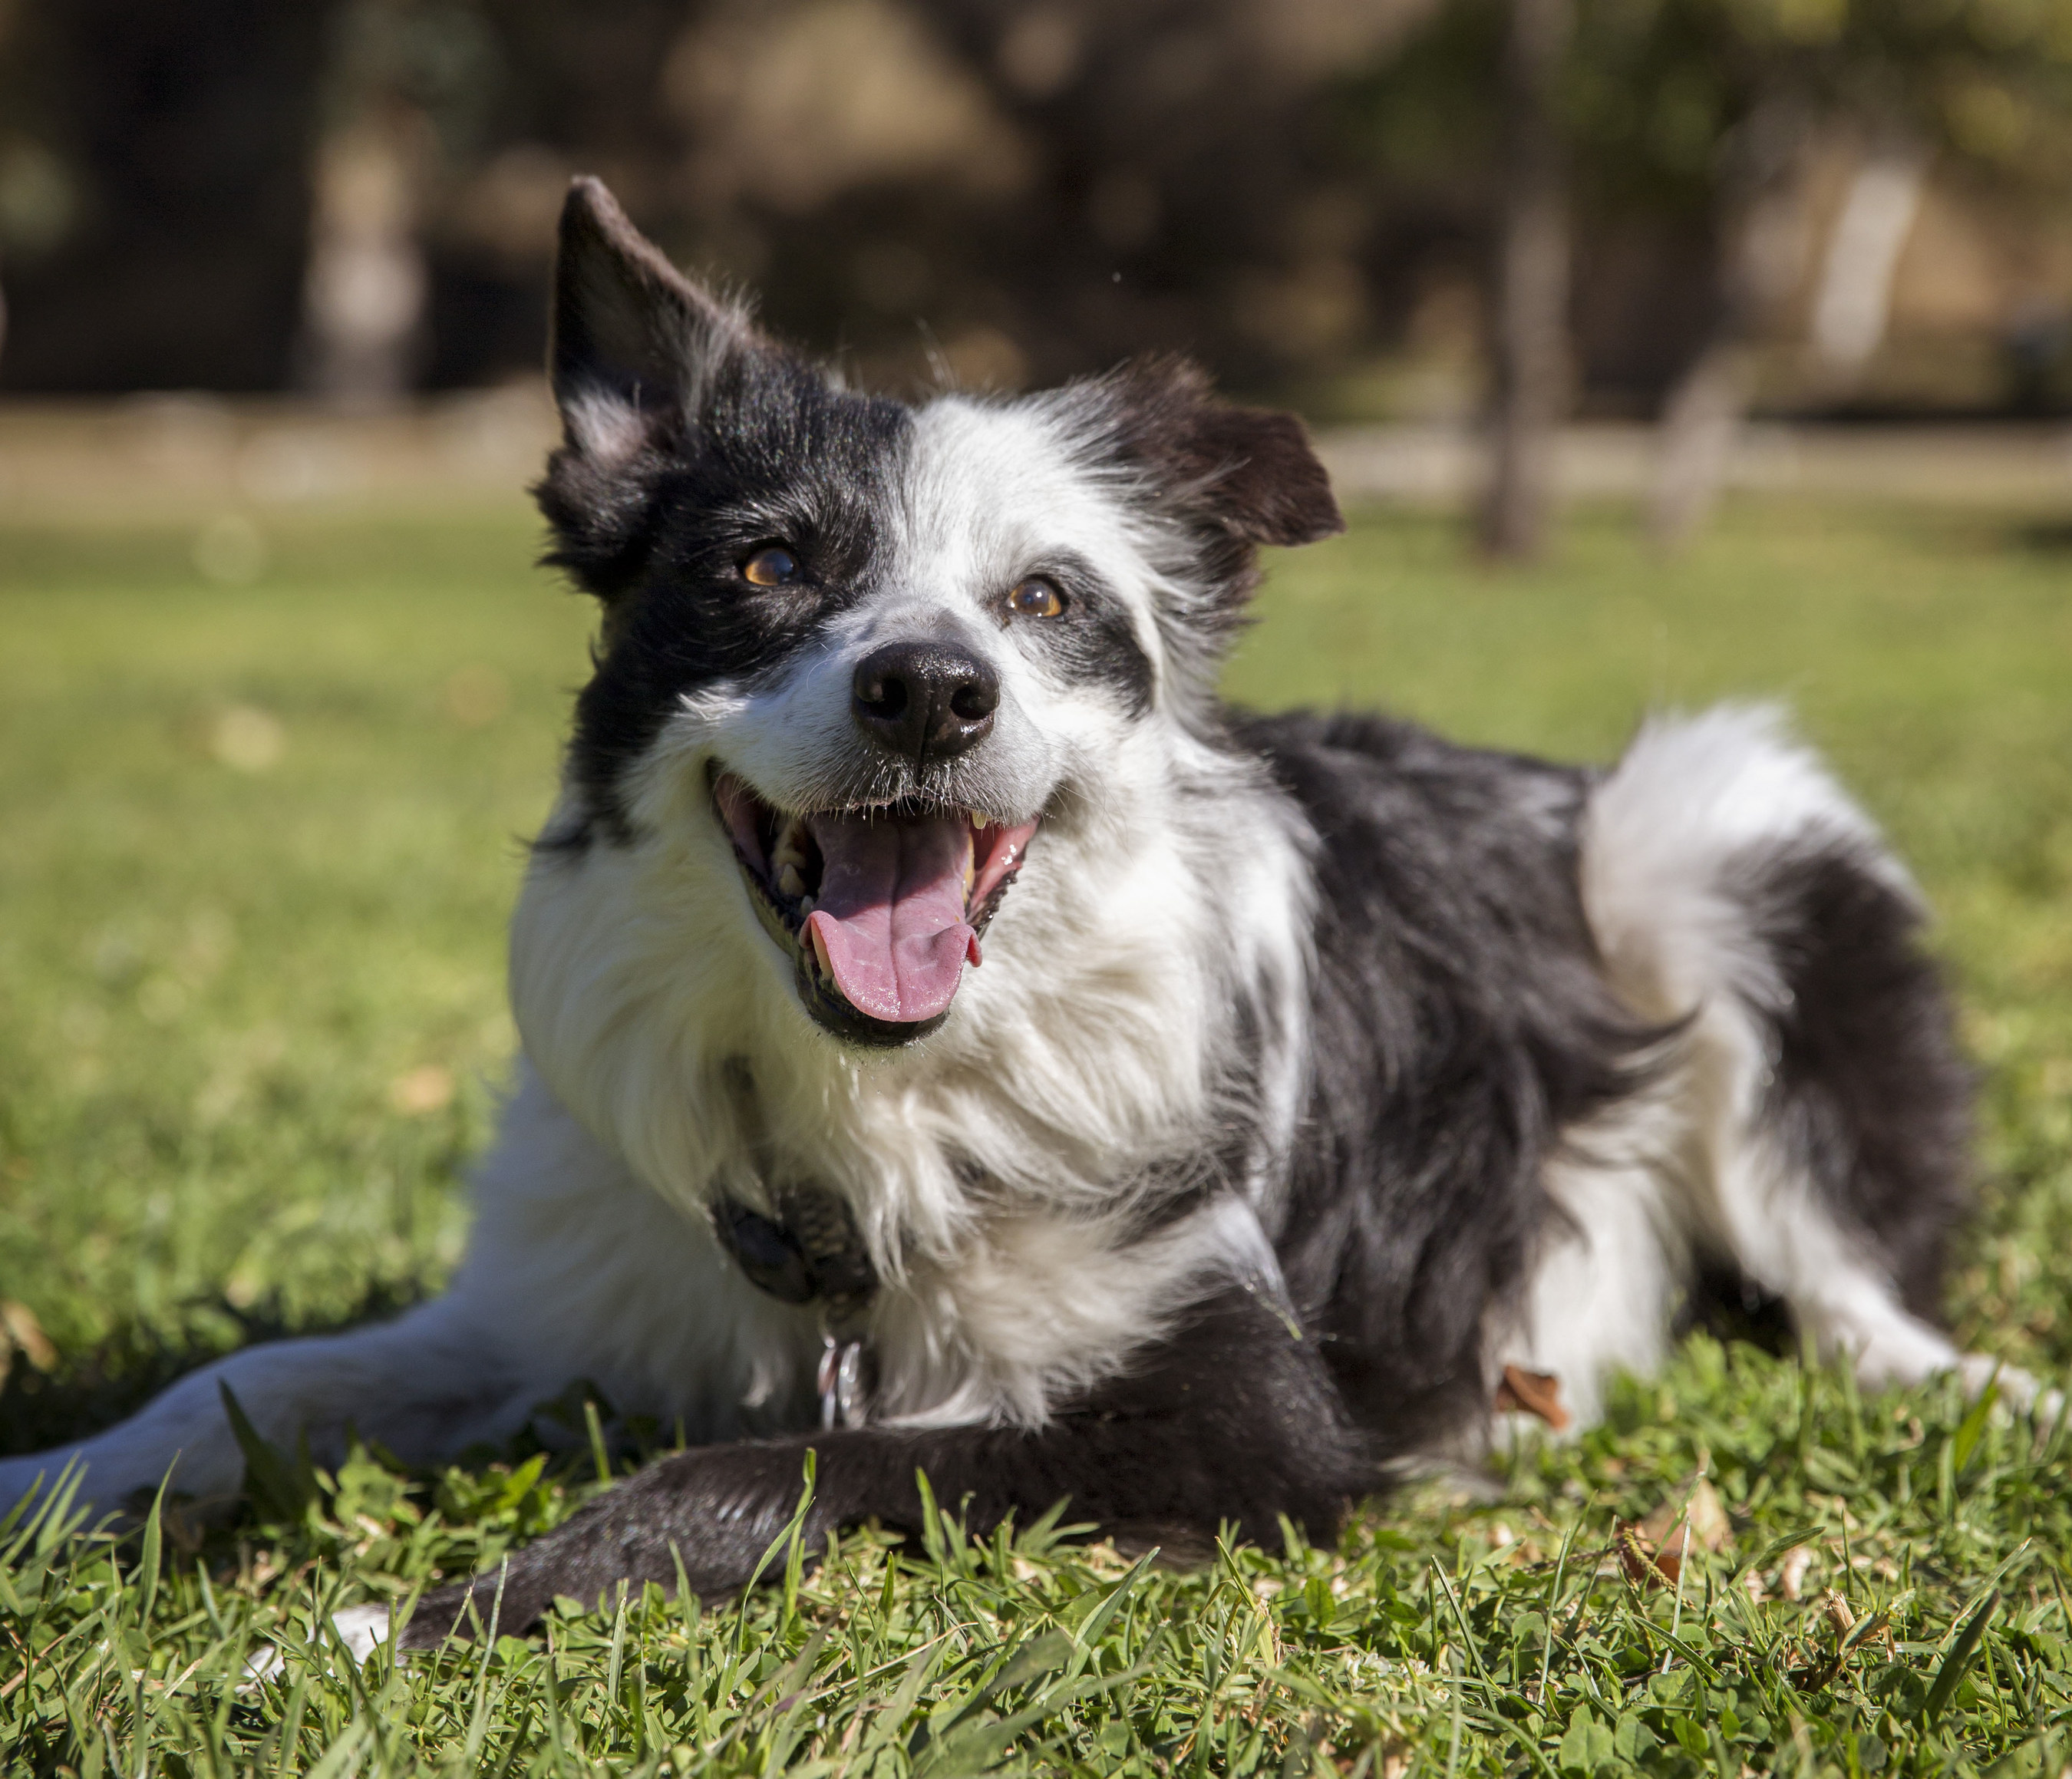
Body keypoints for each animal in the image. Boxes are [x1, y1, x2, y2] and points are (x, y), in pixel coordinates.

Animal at [0, 181, 2038, 1656]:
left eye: (1046, 600)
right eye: (765, 565)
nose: (928, 692)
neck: (864, 1102)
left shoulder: (1241, 1411)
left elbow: (757, 1462)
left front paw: (387, 1624)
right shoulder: (552, 1299)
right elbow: (250, 1375)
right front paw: (57, 1477)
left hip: (1718, 826)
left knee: (1854, 1293)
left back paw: (1983, 1393)